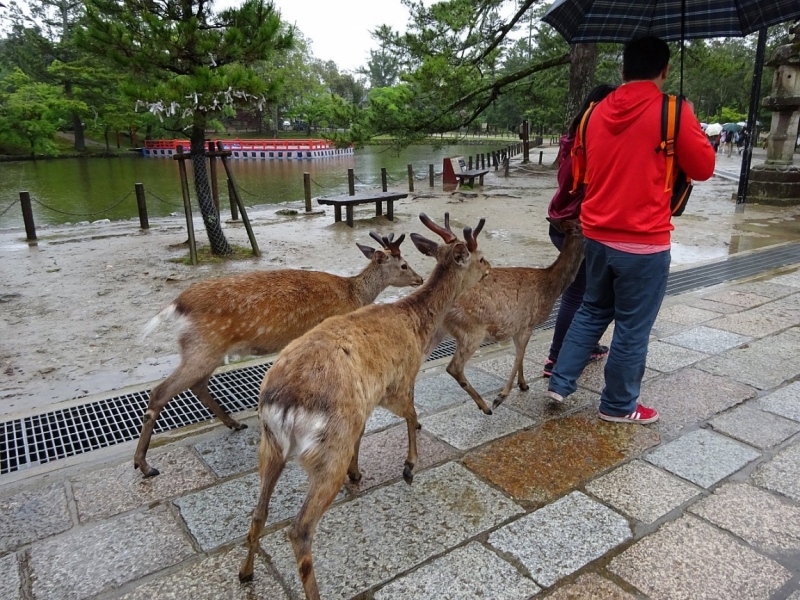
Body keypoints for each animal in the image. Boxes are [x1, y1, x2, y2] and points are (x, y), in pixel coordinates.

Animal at [136, 234, 424, 478]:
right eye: (404, 265)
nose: (420, 278)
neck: (353, 294)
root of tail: (177, 305)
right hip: (203, 346)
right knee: (160, 391)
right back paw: (145, 465)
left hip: (205, 350)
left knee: (198, 384)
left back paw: (233, 423)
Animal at [238, 214, 488, 600]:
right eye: (479, 257)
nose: (490, 269)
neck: (418, 330)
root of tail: (283, 402)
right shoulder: (399, 380)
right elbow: (413, 415)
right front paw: (409, 467)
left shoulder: (366, 404)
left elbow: (367, 431)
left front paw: (359, 473)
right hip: (328, 450)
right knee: (300, 529)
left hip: (270, 446)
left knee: (258, 514)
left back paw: (246, 572)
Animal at [434, 219, 584, 412]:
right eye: (581, 225)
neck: (551, 286)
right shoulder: (527, 323)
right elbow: (519, 355)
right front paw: (501, 396)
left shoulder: (517, 326)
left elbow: (520, 355)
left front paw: (523, 384)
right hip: (471, 331)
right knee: (454, 367)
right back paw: (485, 406)